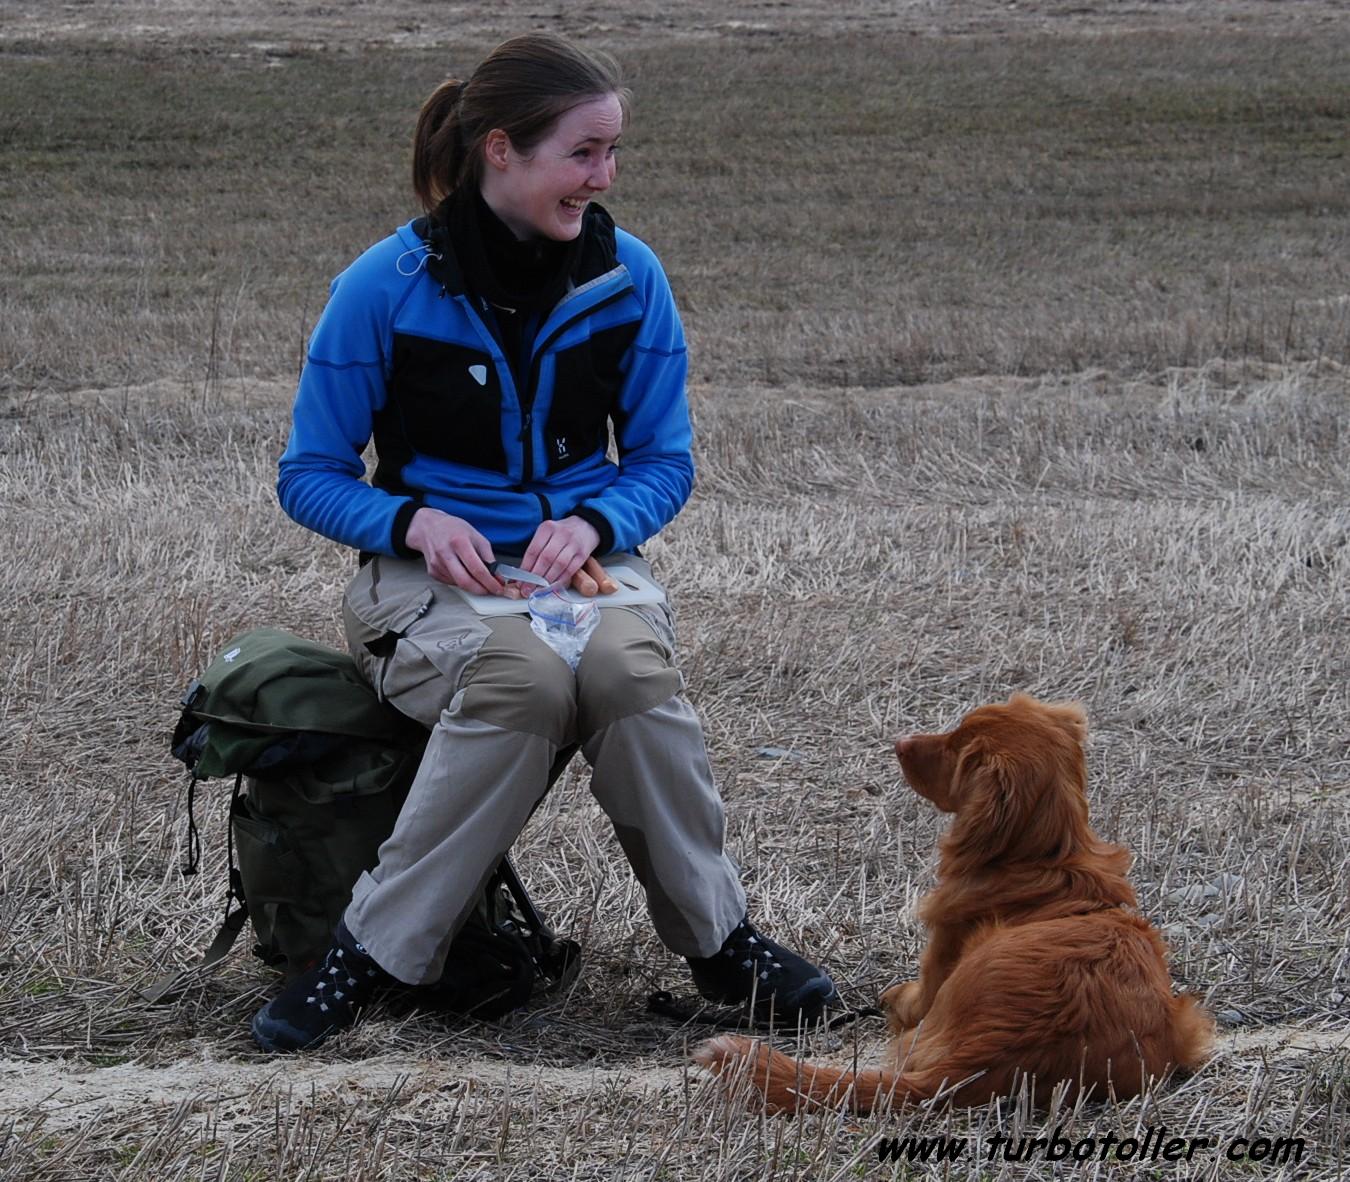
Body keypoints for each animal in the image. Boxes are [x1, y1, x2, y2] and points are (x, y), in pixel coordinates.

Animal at [696, 690, 1215, 1106]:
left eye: (957, 749)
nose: (900, 741)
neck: (1048, 858)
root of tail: (983, 1058)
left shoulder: (937, 961)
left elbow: (909, 995)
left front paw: (891, 995)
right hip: (1189, 1021)